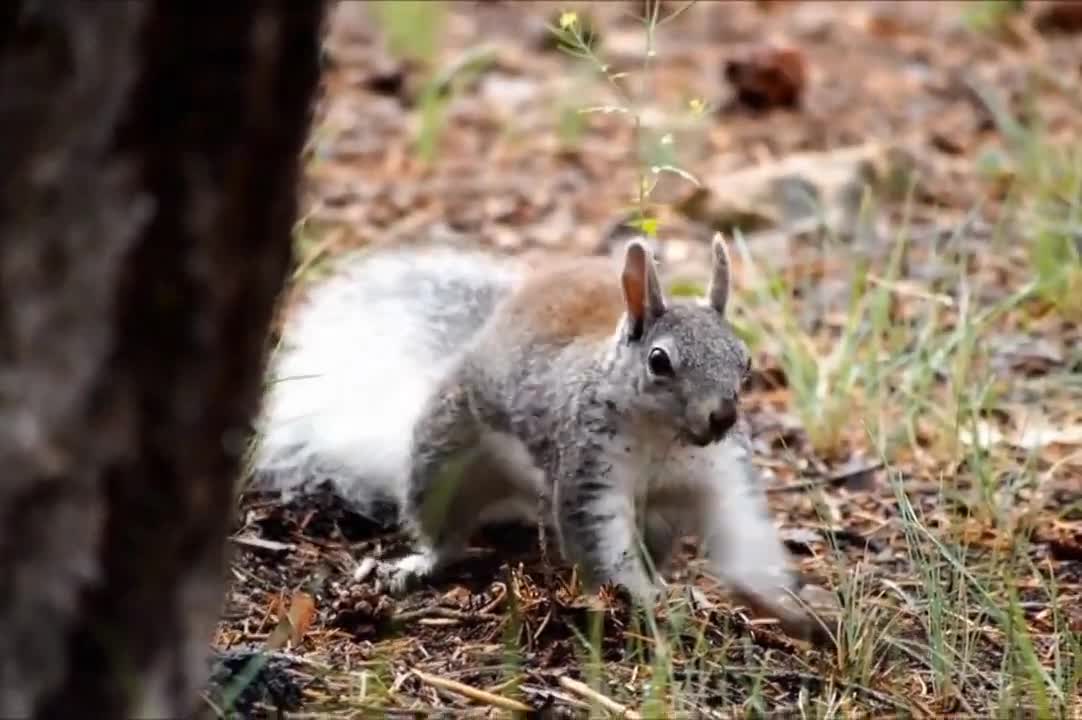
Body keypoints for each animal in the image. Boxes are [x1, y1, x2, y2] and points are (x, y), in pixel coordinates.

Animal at [251, 234, 817, 640]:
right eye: (659, 361)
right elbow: (604, 546)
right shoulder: (589, 471)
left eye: (744, 361)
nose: (722, 416)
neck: (666, 440)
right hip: (445, 459)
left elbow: (743, 537)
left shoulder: (722, 477)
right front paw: (647, 599)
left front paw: (784, 605)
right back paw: (419, 564)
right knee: (445, 531)